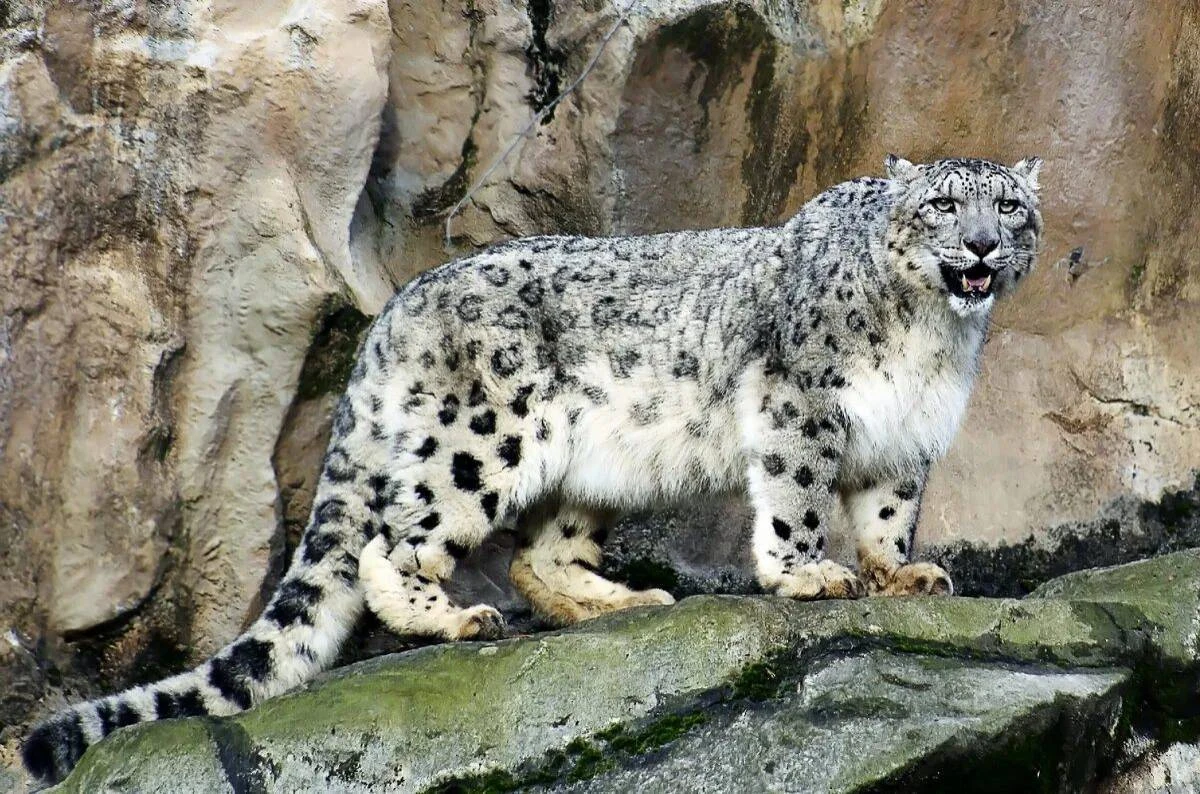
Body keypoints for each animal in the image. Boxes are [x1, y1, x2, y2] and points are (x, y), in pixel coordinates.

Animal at [28, 155, 1041, 782]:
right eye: (944, 205)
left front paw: (902, 573)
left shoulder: (904, 439)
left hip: (588, 470)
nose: (983, 246)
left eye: (1010, 206)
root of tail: (396, 309)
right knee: (393, 541)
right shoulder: (801, 403)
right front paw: (808, 574)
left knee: (537, 553)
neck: (932, 337)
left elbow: (886, 512)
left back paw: (619, 602)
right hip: (479, 440)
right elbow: (797, 491)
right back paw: (454, 618)